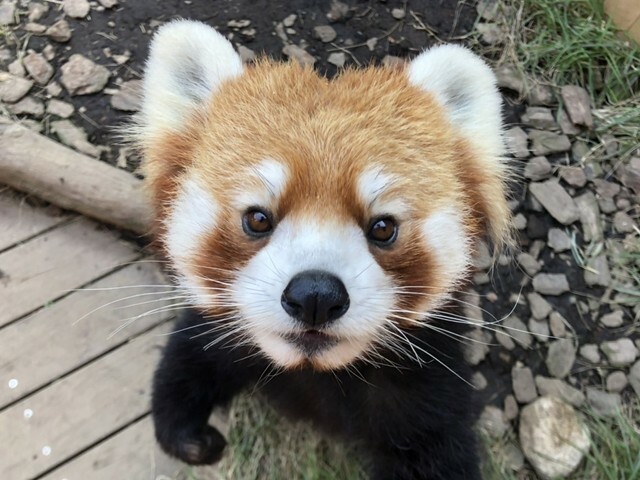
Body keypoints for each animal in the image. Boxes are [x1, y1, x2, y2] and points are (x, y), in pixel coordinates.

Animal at [135, 19, 510, 480]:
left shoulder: (426, 383)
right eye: (258, 219)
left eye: (383, 227)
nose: (316, 295)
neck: (315, 374)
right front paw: (189, 437)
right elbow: (188, 355)